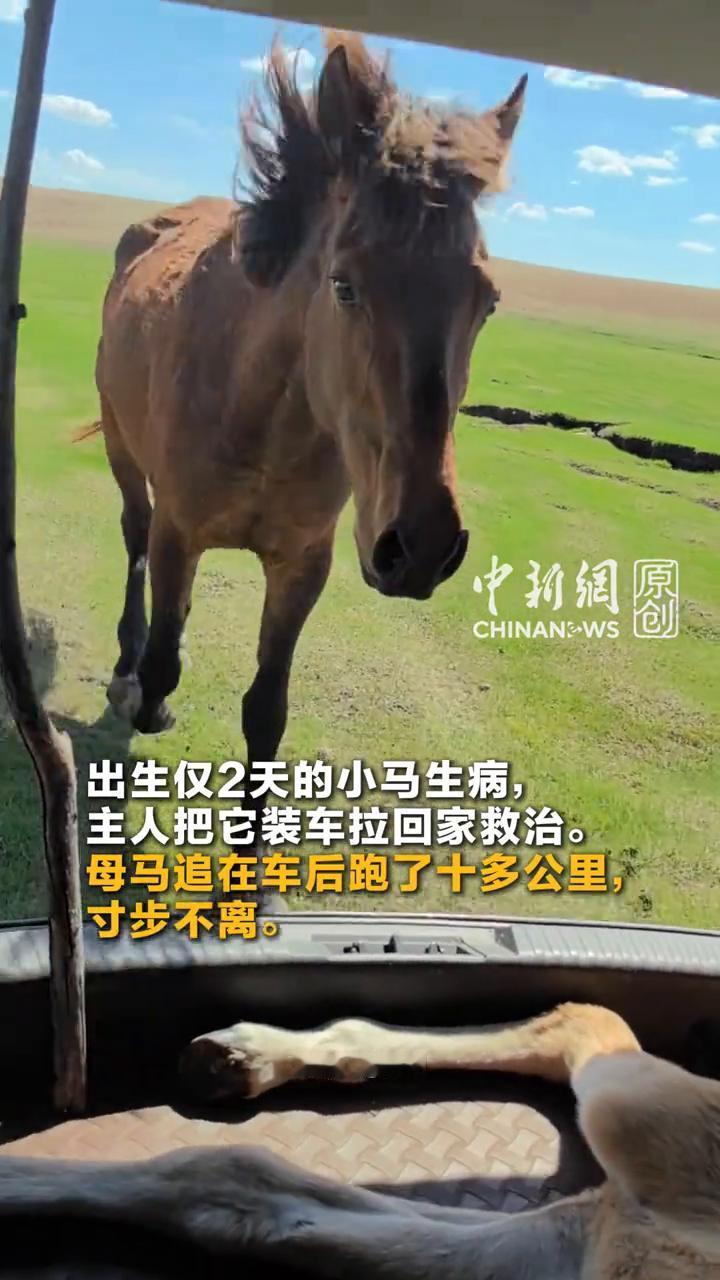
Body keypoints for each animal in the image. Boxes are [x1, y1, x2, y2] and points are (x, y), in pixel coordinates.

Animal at [88, 31, 525, 773]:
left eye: (488, 302)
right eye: (343, 286)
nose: (423, 544)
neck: (265, 422)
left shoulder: (303, 564)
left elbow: (266, 712)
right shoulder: (178, 533)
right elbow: (161, 671)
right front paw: (143, 693)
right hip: (123, 449)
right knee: (132, 537)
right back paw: (124, 664)